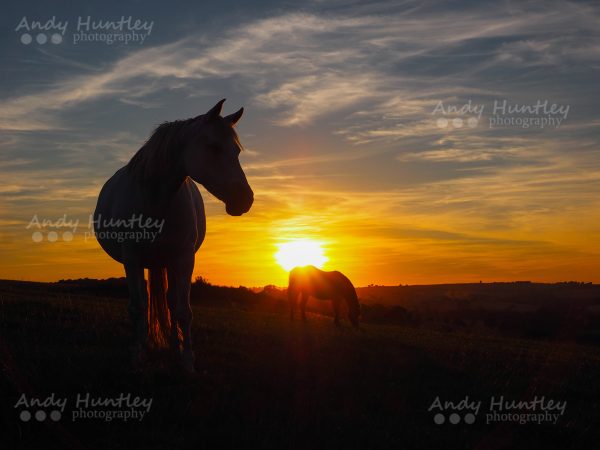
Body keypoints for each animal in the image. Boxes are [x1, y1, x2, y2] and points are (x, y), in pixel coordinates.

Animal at [93, 100, 253, 370]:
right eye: (213, 146)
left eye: (236, 151)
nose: (245, 199)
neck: (155, 199)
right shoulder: (132, 258)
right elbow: (138, 307)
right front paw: (136, 355)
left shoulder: (184, 258)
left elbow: (182, 310)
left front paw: (186, 360)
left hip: (168, 262)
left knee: (169, 302)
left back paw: (174, 347)